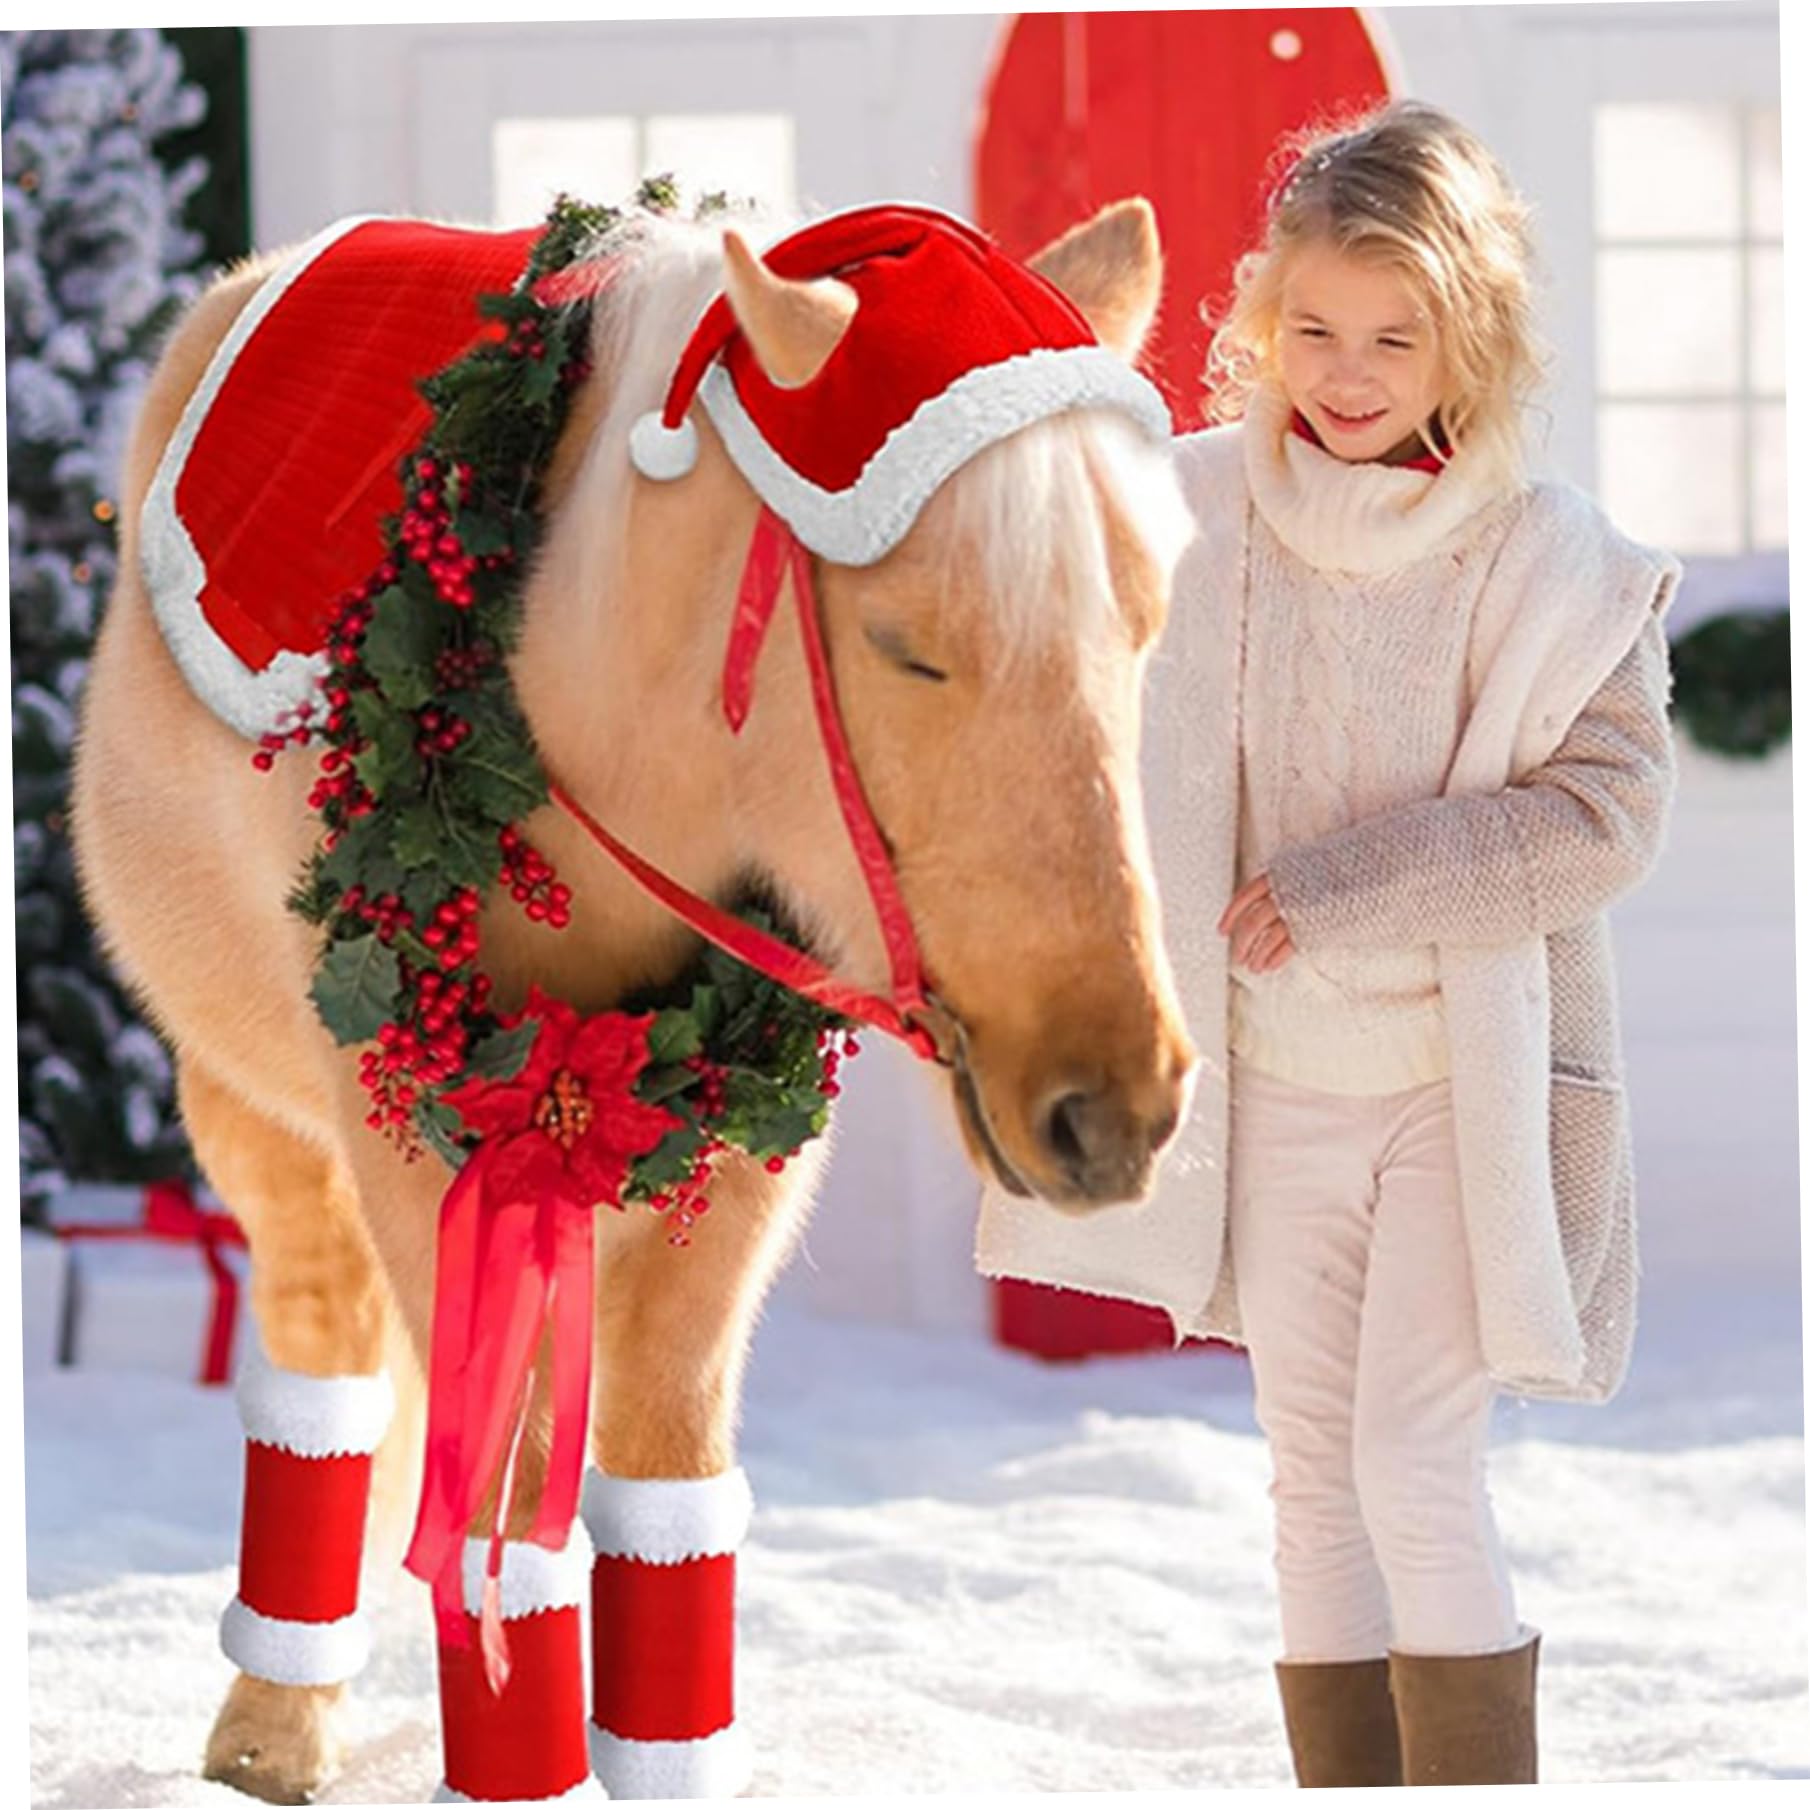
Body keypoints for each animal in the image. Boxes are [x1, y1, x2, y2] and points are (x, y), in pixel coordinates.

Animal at [68, 193, 1197, 1804]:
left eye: (1142, 628)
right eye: (905, 646)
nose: (1116, 1105)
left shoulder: (735, 1171)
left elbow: (664, 1489)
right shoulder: (426, 1159)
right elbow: (501, 1513)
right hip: (260, 1124)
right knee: (321, 1372)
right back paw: (277, 1717)